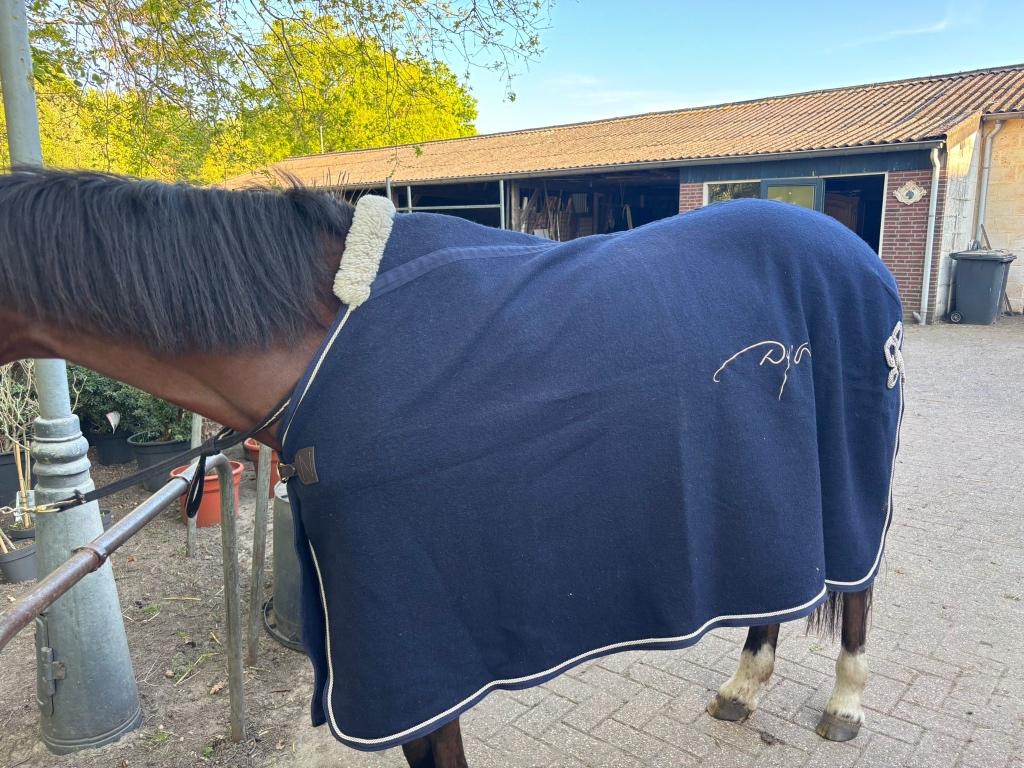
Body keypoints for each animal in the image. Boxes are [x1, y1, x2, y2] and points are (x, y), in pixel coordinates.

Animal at [0, 168, 904, 767]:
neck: (314, 341)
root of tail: (856, 252)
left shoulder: (415, 650)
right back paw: (742, 691)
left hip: (853, 471)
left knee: (858, 592)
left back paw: (846, 705)